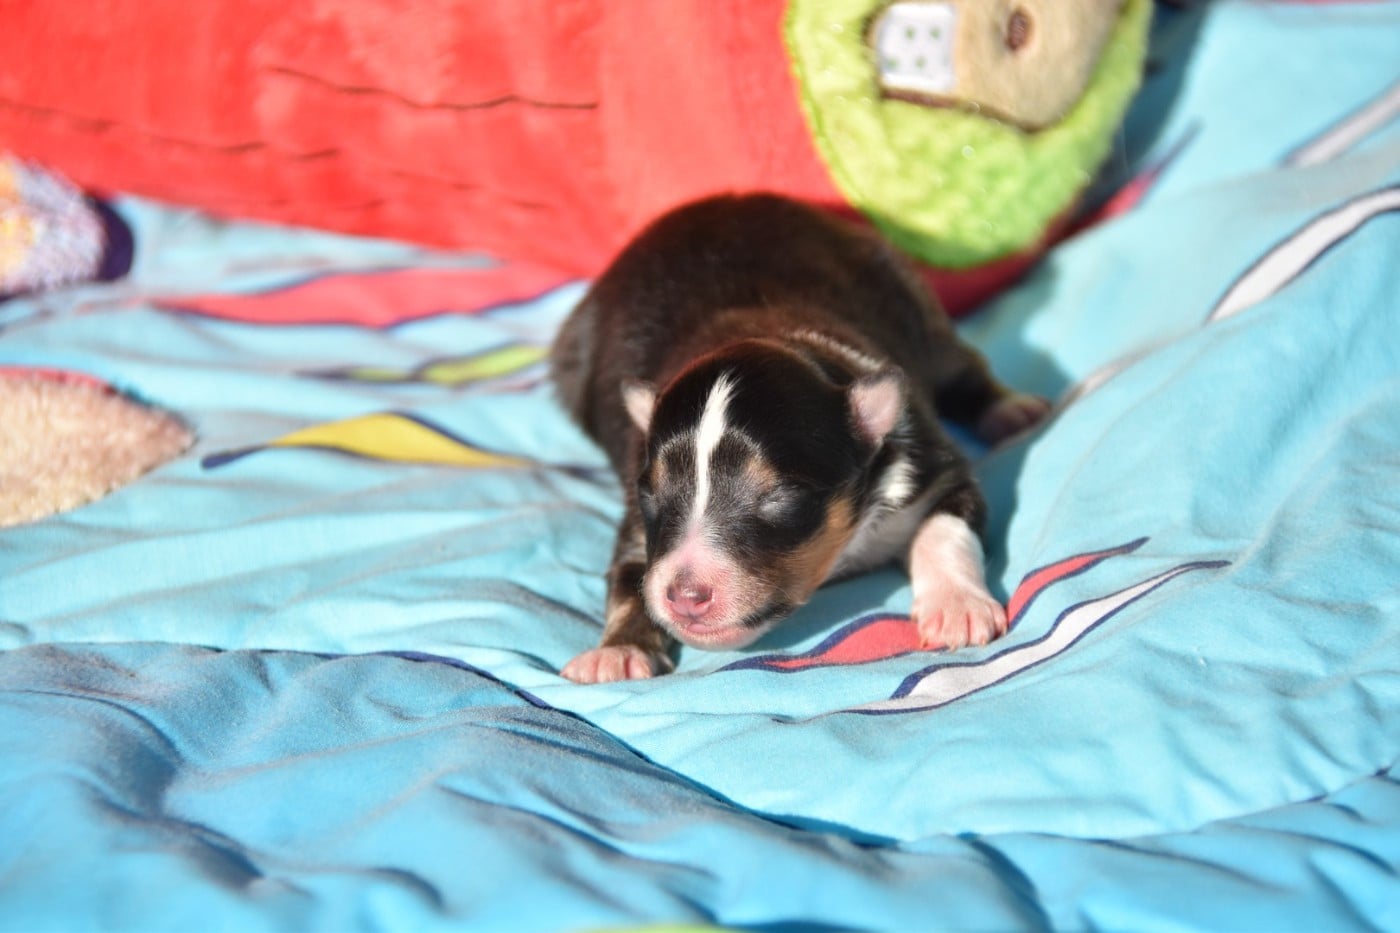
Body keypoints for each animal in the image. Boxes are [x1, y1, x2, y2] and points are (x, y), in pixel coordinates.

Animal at [550, 194, 1047, 683]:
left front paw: (956, 607)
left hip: (916, 309)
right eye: (651, 494)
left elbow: (944, 529)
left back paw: (1012, 410)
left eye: (780, 496)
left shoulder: (931, 466)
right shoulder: (639, 523)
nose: (685, 596)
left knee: (962, 368)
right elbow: (629, 580)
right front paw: (617, 651)